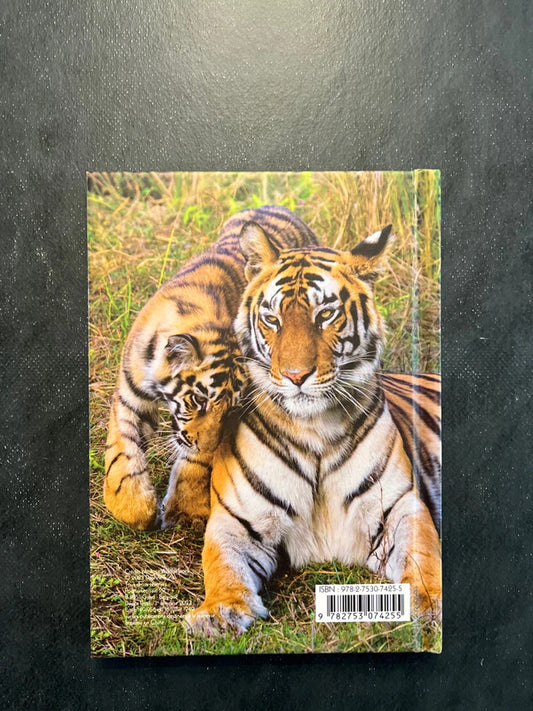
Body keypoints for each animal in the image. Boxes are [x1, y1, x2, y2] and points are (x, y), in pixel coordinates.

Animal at [103, 205, 318, 531]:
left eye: (231, 409)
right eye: (198, 400)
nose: (204, 446)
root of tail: (277, 206)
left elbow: (197, 463)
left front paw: (184, 509)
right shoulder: (130, 396)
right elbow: (122, 449)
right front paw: (132, 507)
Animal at [185, 222, 442, 635]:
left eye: (325, 314)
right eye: (272, 319)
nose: (295, 376)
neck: (315, 430)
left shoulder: (399, 507)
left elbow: (423, 553)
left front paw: (431, 602)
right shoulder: (236, 520)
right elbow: (221, 566)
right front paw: (218, 612)